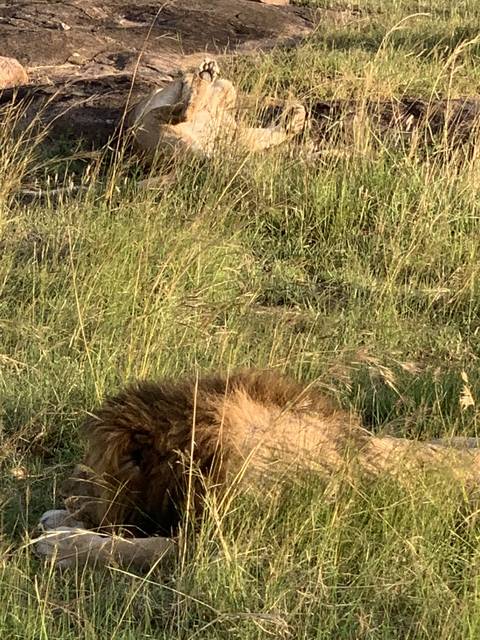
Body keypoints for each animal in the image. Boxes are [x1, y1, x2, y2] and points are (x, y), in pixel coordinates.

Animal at [33, 369, 480, 570]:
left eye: (95, 477)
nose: (72, 495)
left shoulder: (224, 546)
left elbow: (136, 548)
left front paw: (61, 543)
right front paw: (58, 518)